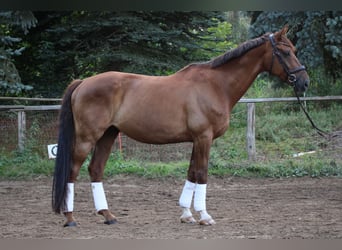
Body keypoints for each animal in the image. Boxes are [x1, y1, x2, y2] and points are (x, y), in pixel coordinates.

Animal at [52, 25, 308, 227]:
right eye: (285, 52)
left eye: (295, 51)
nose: (304, 82)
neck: (216, 85)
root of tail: (84, 82)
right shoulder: (204, 137)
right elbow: (202, 174)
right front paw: (204, 216)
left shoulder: (197, 139)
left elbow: (191, 173)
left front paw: (187, 214)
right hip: (87, 137)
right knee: (72, 171)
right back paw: (70, 218)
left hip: (108, 135)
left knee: (95, 169)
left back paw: (108, 215)